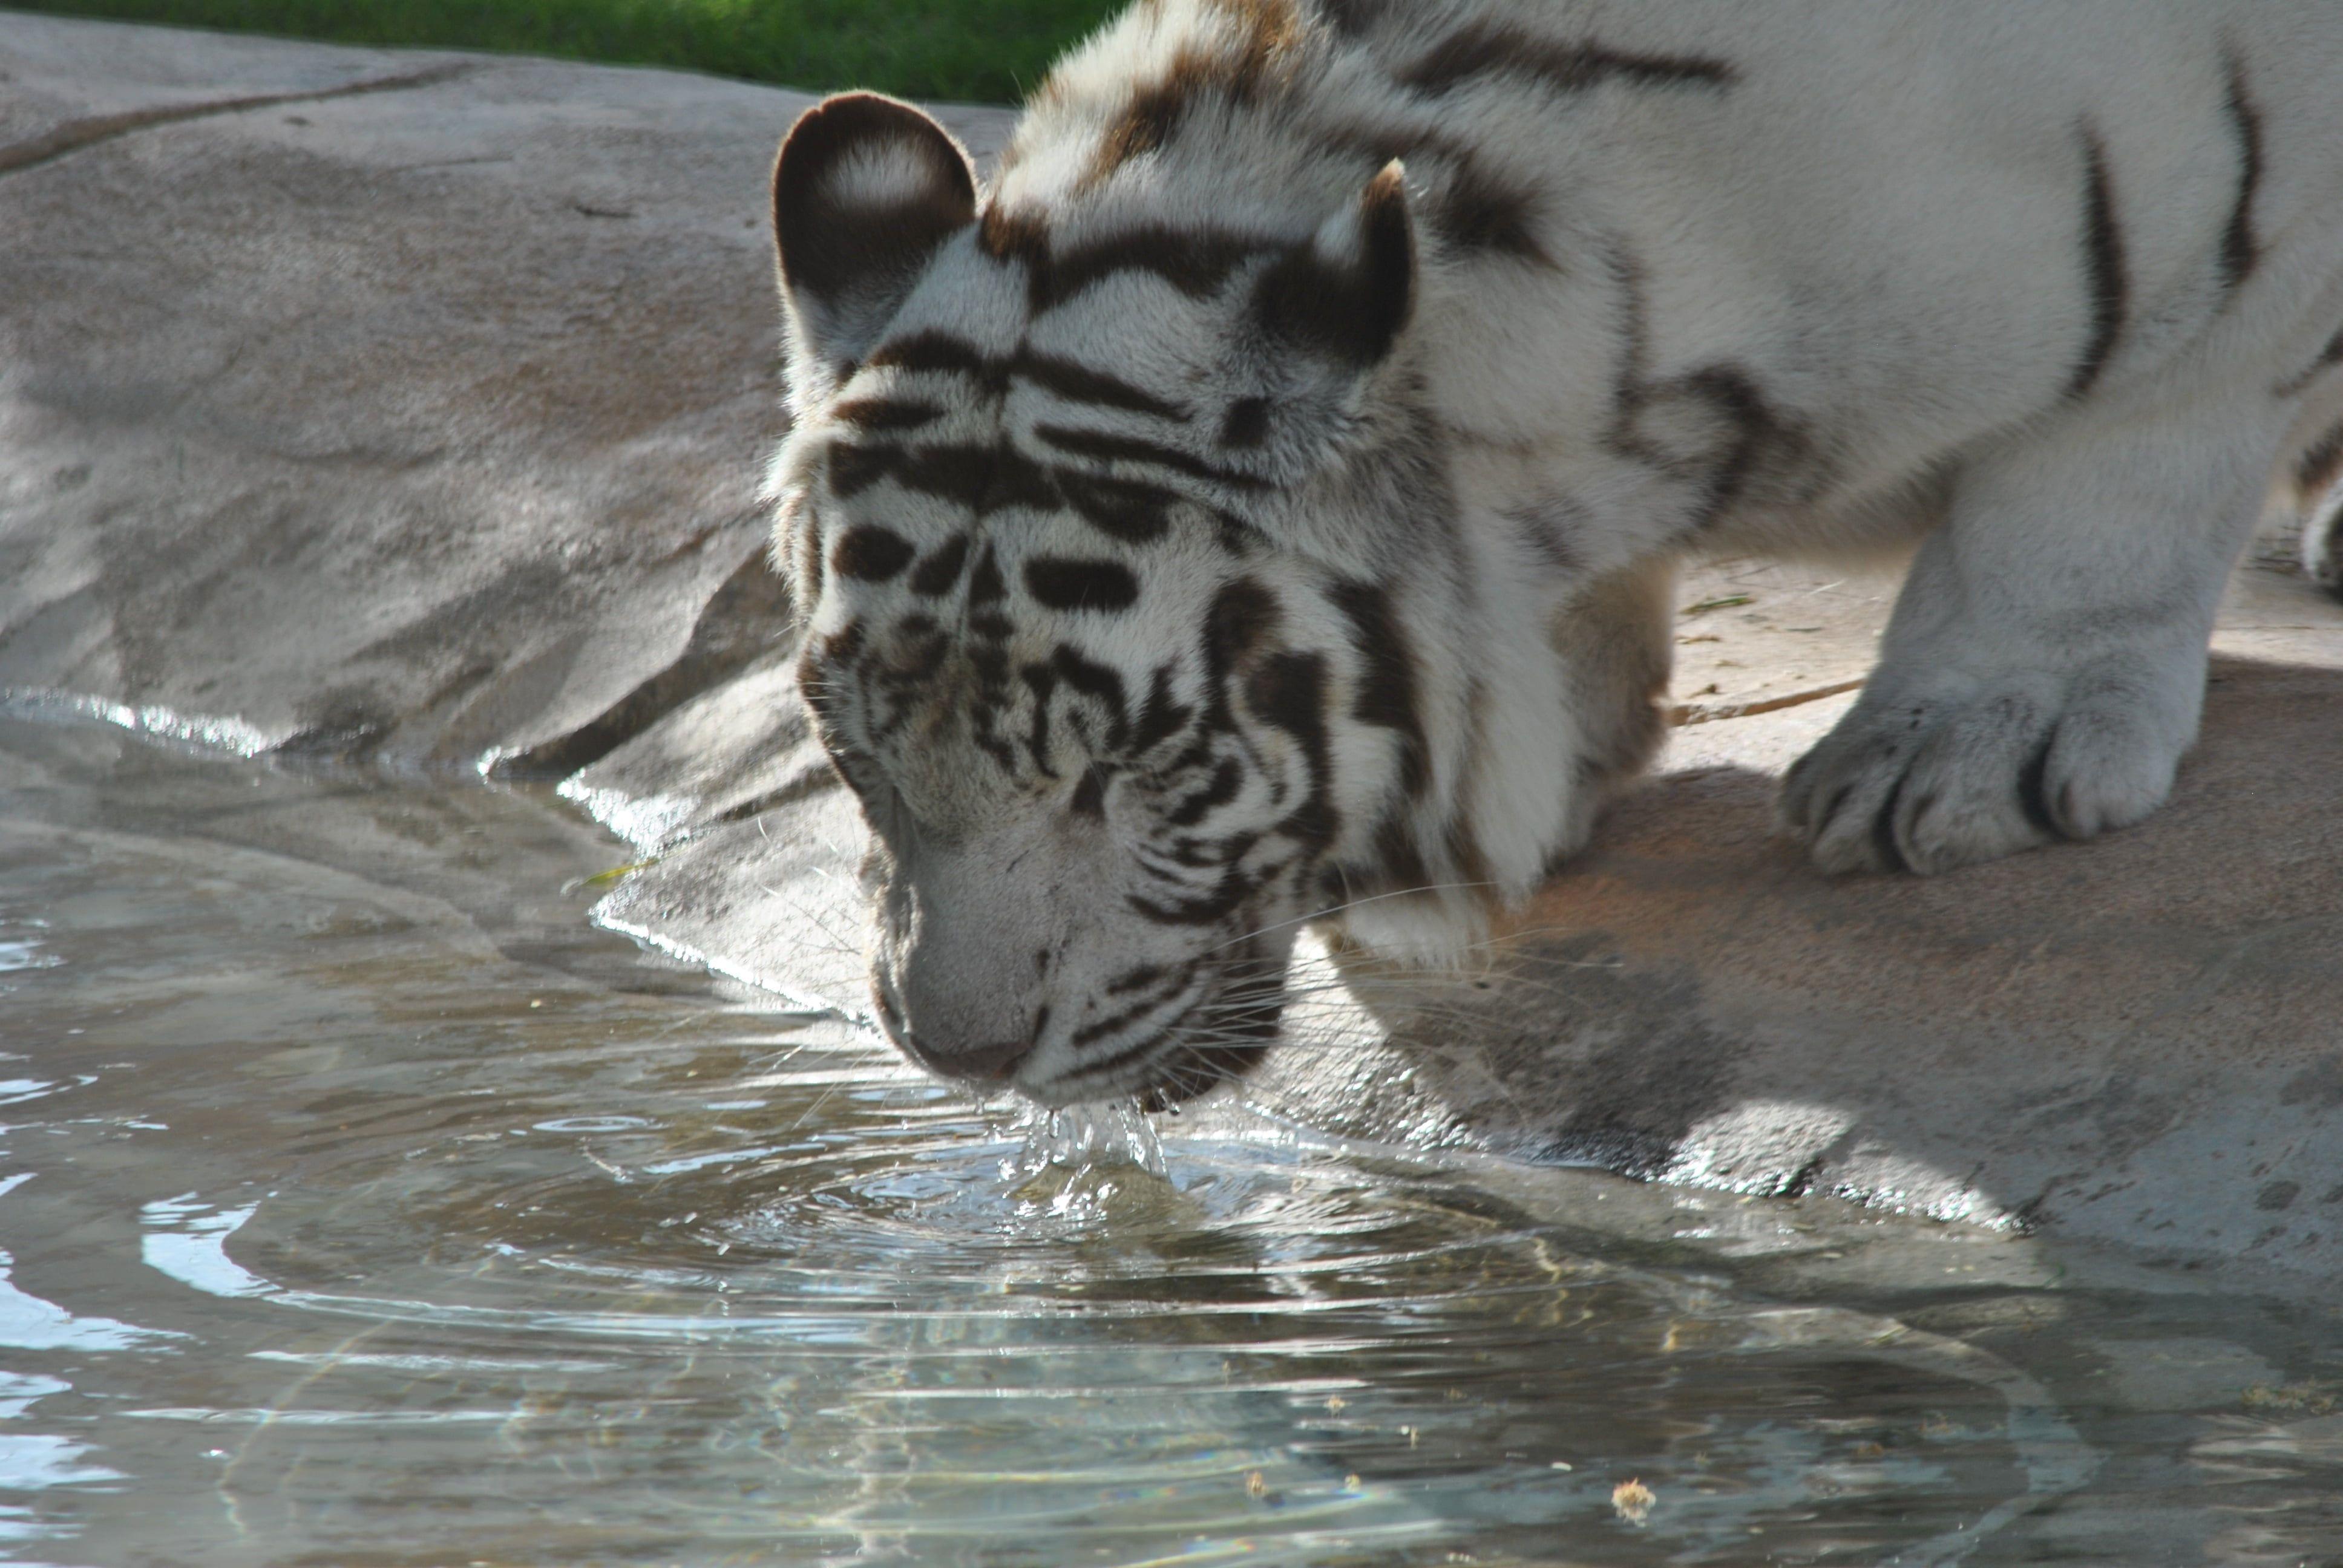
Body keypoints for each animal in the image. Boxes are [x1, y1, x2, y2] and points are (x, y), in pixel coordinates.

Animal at [760, 0, 2343, 1109]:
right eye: (855, 751)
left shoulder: (2246, 230)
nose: (959, 1055)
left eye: (1133, 767)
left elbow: (2107, 476)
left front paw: (1962, 754)